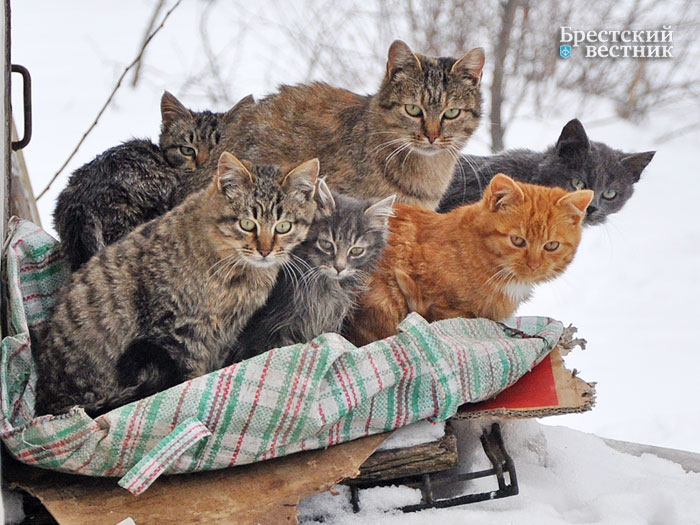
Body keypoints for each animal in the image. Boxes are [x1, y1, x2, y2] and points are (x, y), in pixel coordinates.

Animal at [34, 152, 320, 416]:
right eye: (247, 223)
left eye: (283, 227)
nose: (265, 251)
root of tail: (46, 402)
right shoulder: (177, 331)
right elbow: (188, 377)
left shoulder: (225, 334)